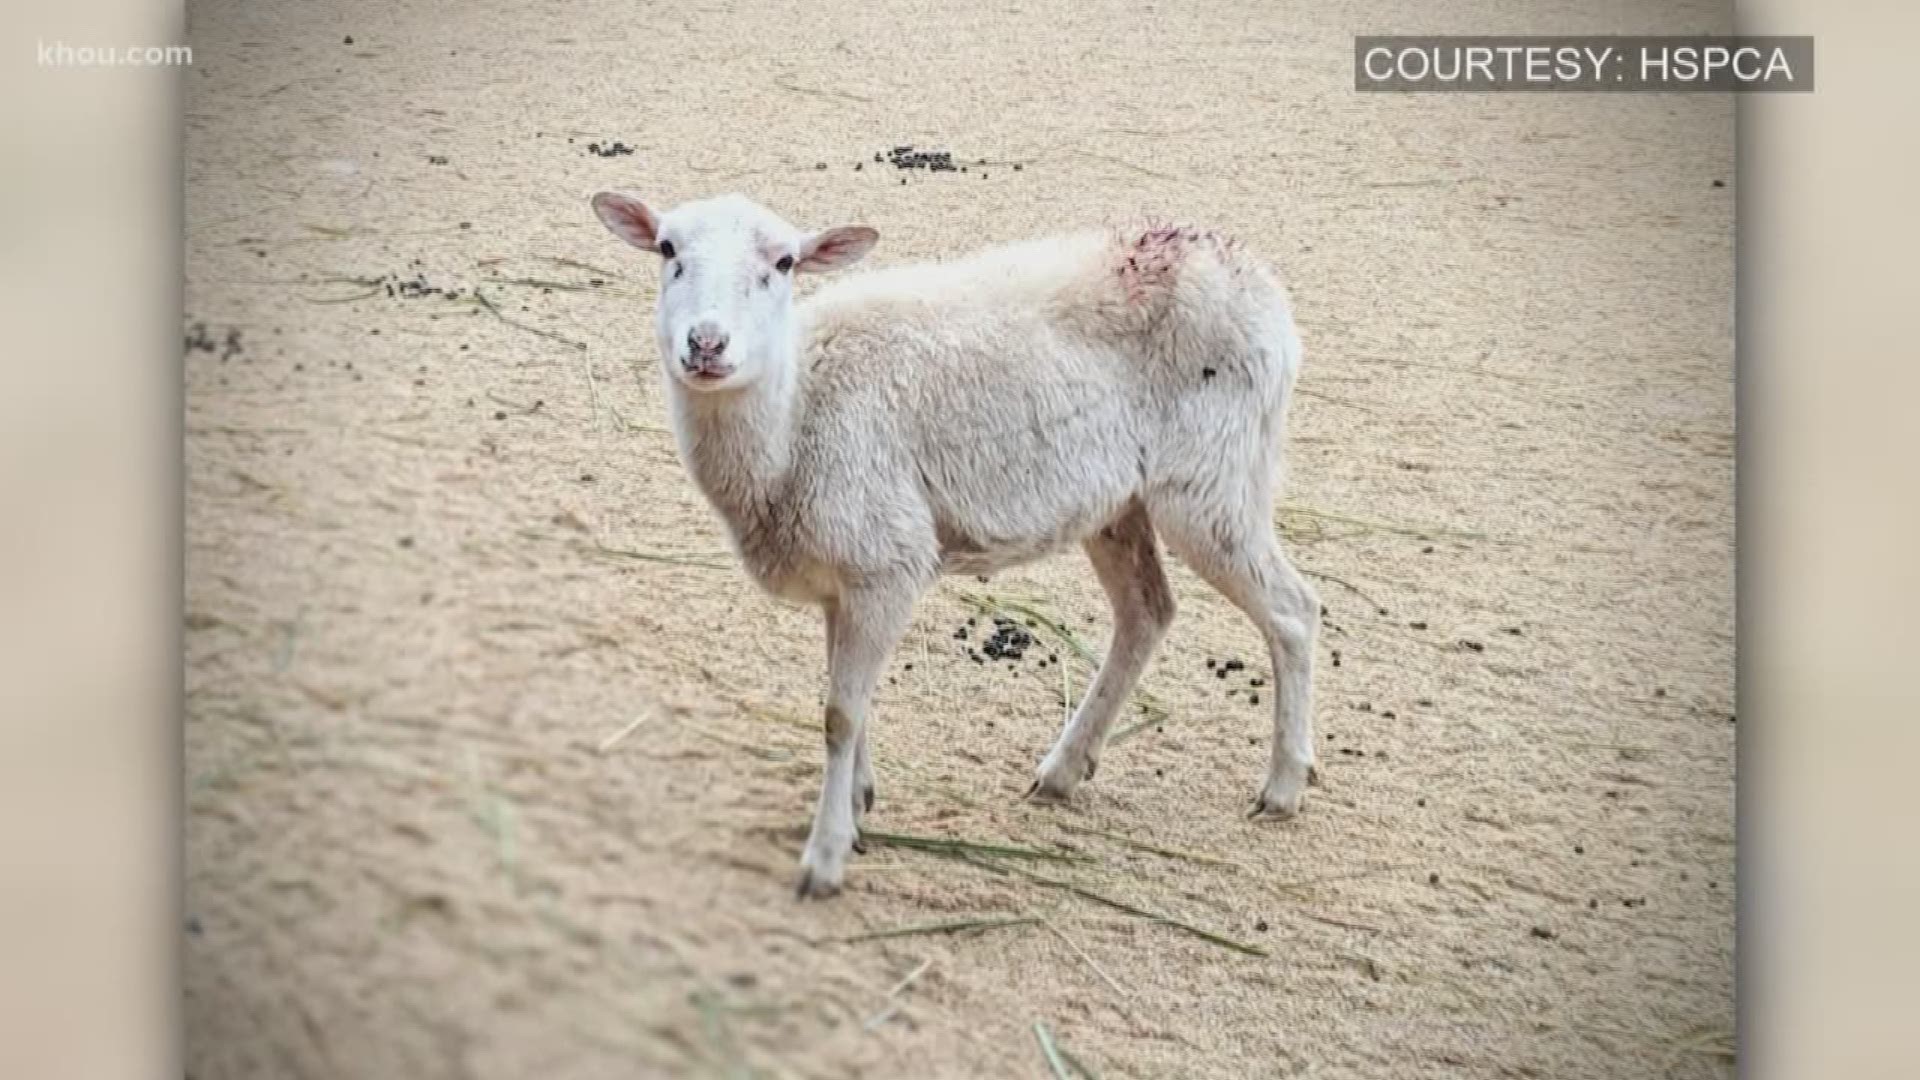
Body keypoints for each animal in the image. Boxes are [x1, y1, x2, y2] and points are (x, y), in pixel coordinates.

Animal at [591, 191, 1320, 891]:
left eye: (785, 263)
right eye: (667, 249)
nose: (706, 344)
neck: (796, 418)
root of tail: (1257, 278)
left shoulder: (887, 560)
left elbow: (839, 716)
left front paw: (825, 856)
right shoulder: (842, 578)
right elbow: (850, 703)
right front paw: (858, 803)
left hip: (1215, 478)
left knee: (1293, 611)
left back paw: (1283, 786)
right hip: (1121, 500)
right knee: (1147, 611)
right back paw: (1063, 769)